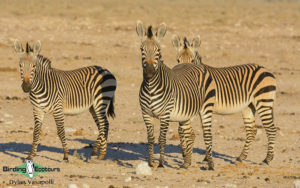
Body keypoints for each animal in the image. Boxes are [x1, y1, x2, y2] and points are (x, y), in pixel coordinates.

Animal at [137, 20, 217, 170]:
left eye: (159, 51)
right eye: (141, 49)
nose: (149, 72)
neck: (151, 88)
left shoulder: (165, 114)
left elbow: (162, 138)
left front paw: (161, 163)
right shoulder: (145, 114)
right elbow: (150, 138)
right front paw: (150, 162)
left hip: (206, 108)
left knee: (207, 134)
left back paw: (210, 164)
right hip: (185, 114)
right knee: (189, 134)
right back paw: (186, 163)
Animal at [171, 35, 276, 164]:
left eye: (192, 61)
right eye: (178, 60)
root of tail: (264, 69)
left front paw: (193, 155)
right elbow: (182, 130)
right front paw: (187, 154)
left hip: (263, 102)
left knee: (271, 129)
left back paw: (267, 159)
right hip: (248, 106)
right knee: (252, 130)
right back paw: (241, 157)